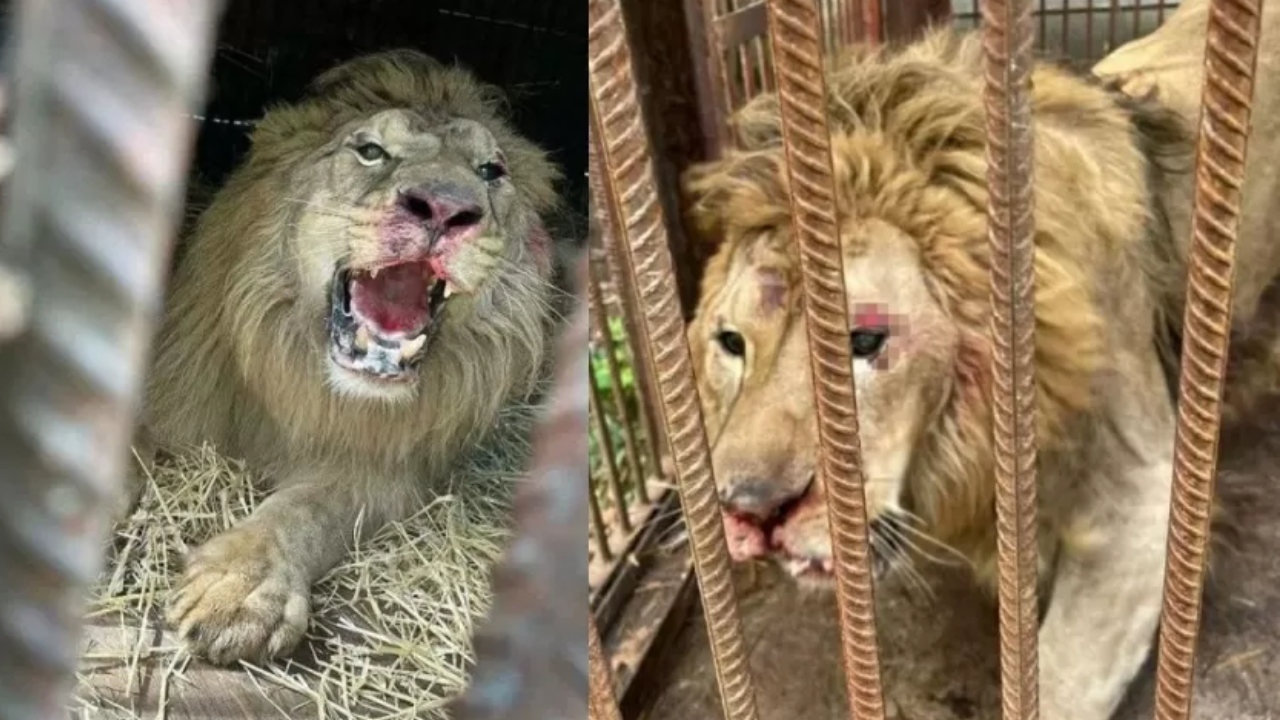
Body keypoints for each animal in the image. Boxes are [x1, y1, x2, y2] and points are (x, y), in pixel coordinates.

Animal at [124, 50, 568, 666]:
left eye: (490, 172)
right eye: (371, 151)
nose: (446, 208)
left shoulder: (381, 464)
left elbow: (304, 511)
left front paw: (241, 590)